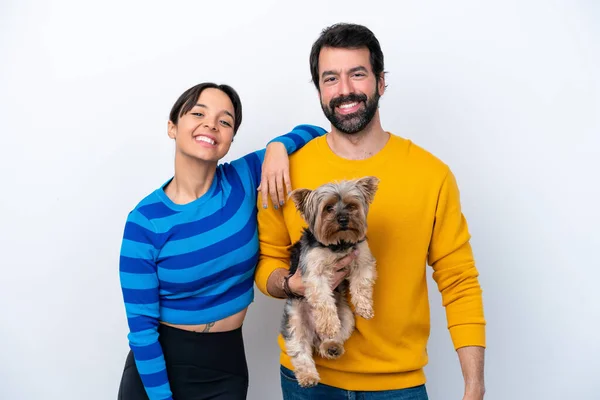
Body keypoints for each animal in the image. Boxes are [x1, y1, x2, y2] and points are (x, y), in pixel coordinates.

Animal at [280, 176, 380, 388]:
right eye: (328, 208)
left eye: (351, 206)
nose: (343, 219)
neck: (338, 243)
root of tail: (314, 335)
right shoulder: (314, 272)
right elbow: (324, 302)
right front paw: (328, 324)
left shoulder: (362, 259)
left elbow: (362, 284)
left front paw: (365, 307)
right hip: (295, 320)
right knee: (300, 349)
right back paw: (308, 375)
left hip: (347, 318)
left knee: (331, 339)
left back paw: (332, 346)